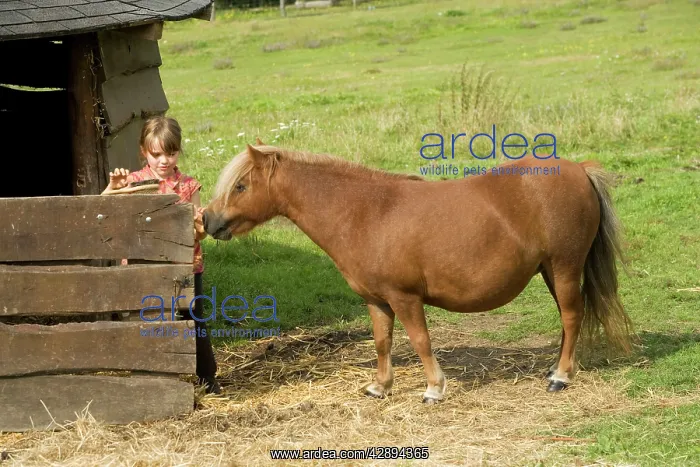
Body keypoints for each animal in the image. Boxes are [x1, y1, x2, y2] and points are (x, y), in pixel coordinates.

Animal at [202, 141, 634, 402]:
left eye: (240, 186)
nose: (208, 220)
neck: (365, 212)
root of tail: (579, 169)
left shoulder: (405, 298)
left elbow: (421, 341)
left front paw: (434, 388)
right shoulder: (376, 301)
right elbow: (382, 343)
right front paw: (380, 386)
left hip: (564, 266)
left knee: (572, 316)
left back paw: (561, 376)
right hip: (549, 270)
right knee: (566, 319)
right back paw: (557, 368)